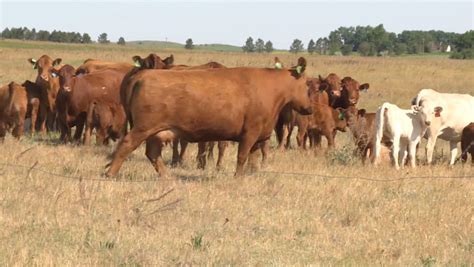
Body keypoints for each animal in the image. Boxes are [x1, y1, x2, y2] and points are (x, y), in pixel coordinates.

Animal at [107, 57, 314, 177]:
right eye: (308, 85)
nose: (309, 109)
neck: (271, 89)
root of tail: (143, 75)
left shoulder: (259, 135)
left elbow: (253, 159)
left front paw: (250, 175)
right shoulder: (250, 133)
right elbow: (242, 157)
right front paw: (237, 178)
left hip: (156, 132)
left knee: (152, 154)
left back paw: (166, 177)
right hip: (143, 128)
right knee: (126, 146)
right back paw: (110, 174)